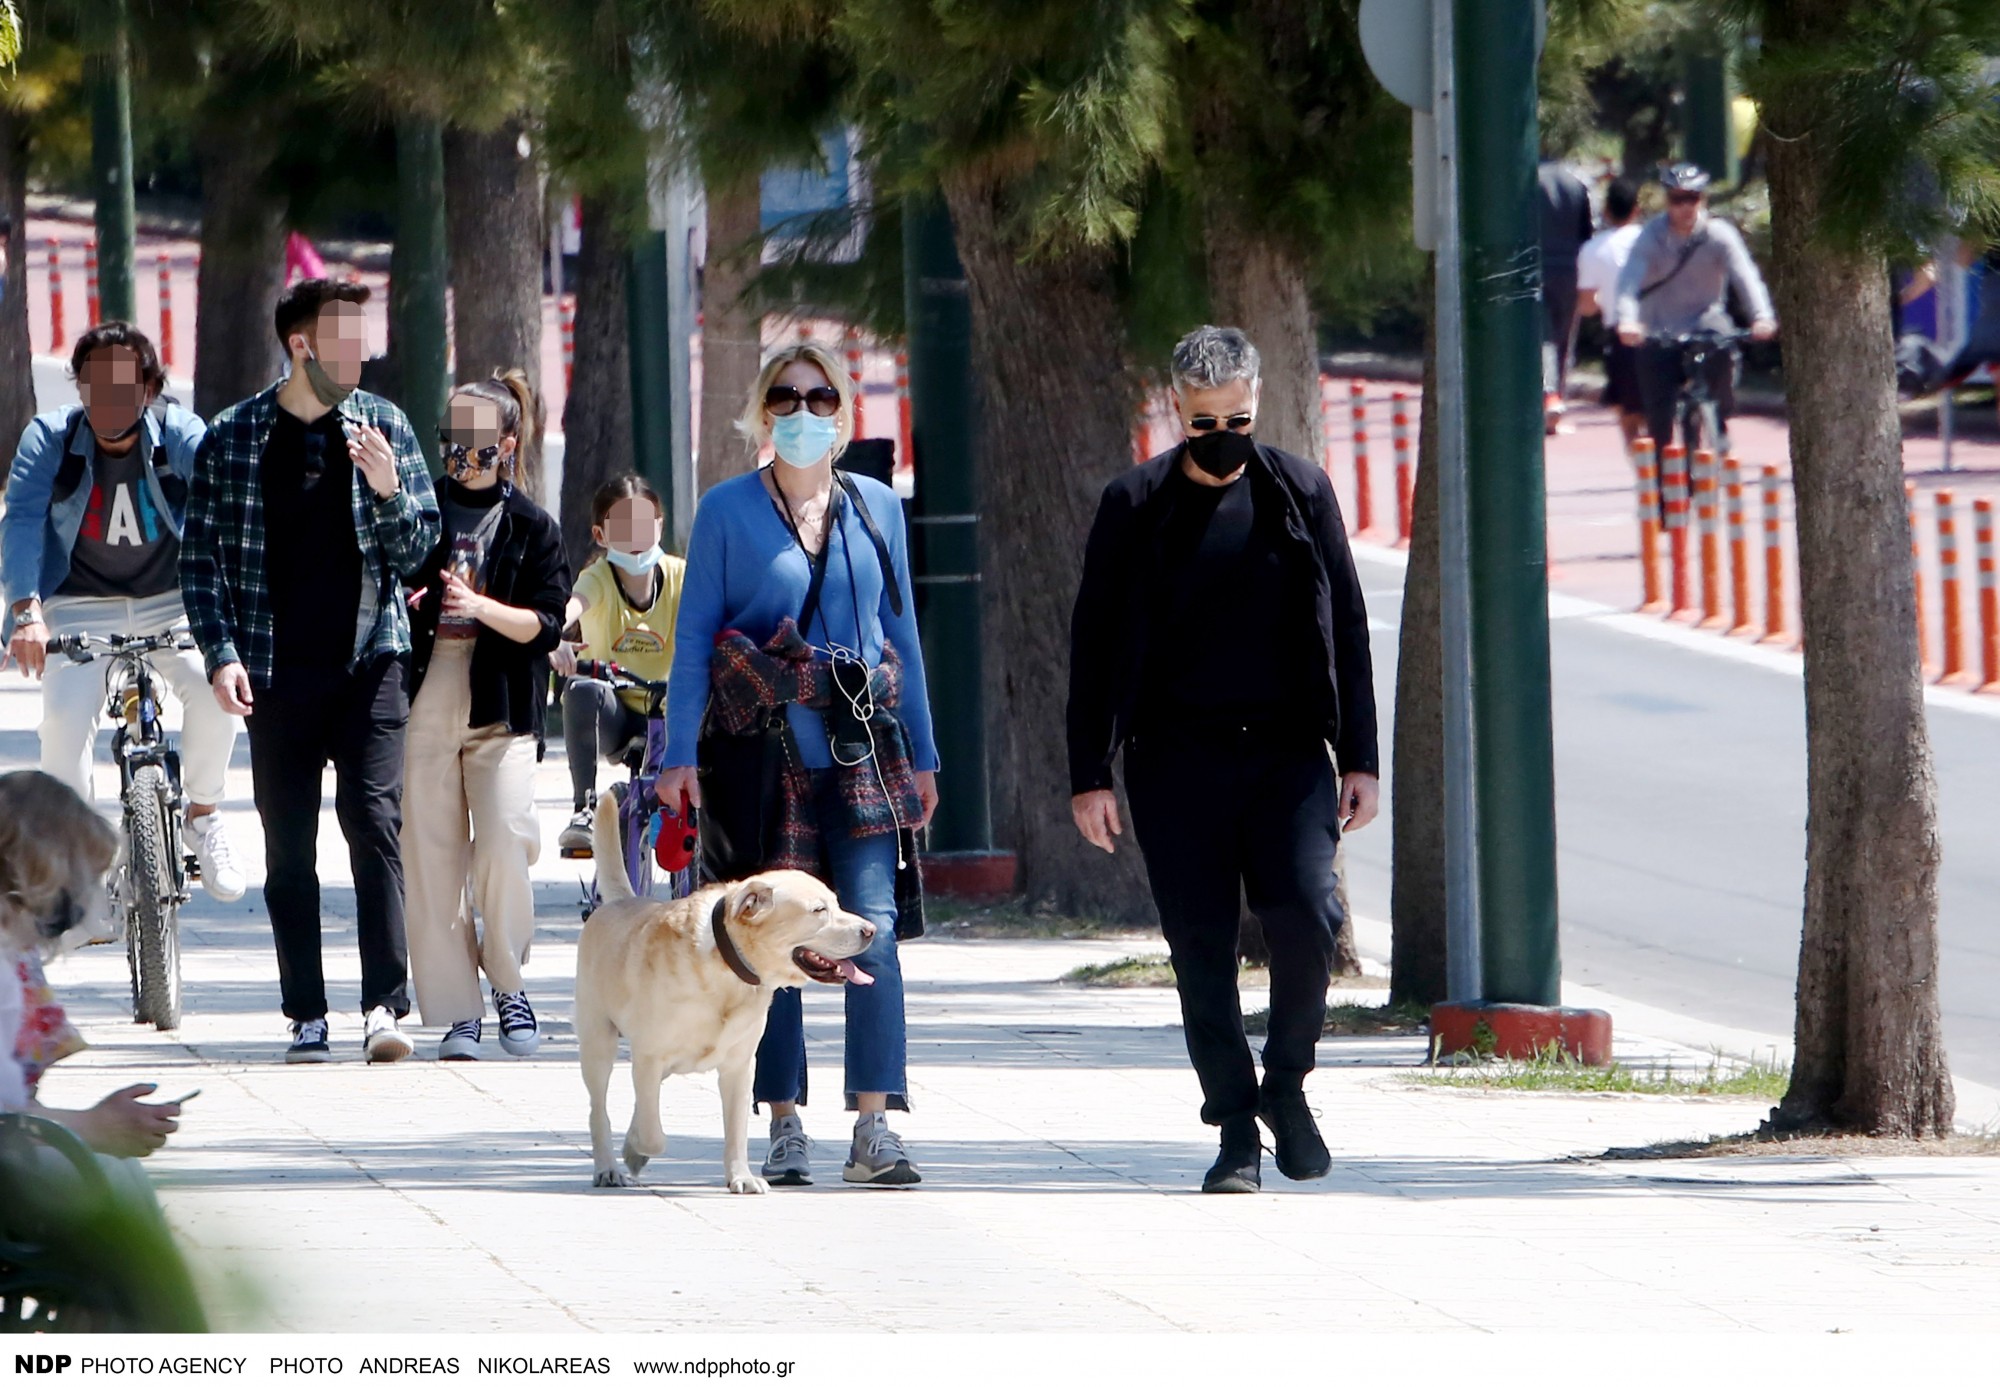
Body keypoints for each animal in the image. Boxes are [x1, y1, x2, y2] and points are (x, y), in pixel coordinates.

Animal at [568, 791, 872, 1199]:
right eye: (819, 910)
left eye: (837, 903)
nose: (871, 929)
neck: (730, 972)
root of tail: (618, 902)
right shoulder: (649, 1056)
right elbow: (653, 1134)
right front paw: (635, 1150)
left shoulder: (740, 1066)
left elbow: (736, 1130)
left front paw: (740, 1176)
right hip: (598, 1042)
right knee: (599, 1109)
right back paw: (608, 1167)